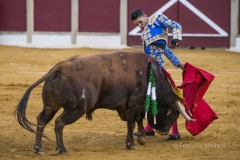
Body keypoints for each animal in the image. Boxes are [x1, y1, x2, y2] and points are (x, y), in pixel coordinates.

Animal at [14, 50, 193, 155]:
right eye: (174, 114)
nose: (164, 131)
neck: (151, 74)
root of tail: (58, 68)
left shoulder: (135, 105)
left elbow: (138, 121)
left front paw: (141, 138)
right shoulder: (134, 103)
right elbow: (131, 123)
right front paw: (131, 144)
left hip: (51, 106)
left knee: (42, 120)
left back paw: (39, 149)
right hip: (76, 108)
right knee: (59, 123)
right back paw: (61, 149)